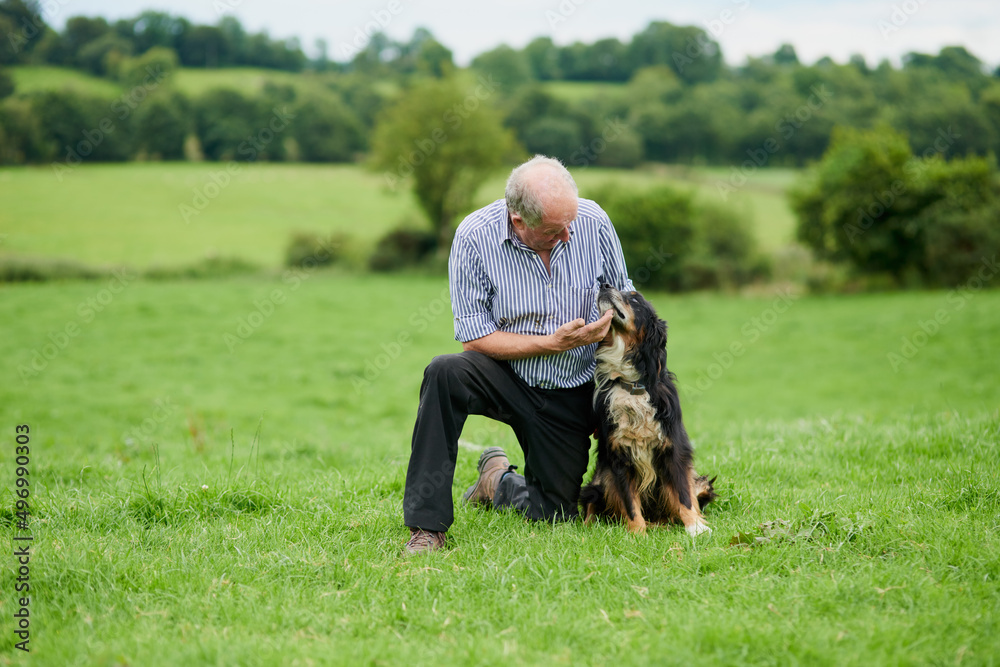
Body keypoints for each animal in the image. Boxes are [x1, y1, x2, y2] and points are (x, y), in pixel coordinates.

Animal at [580, 284, 720, 536]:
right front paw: (637, 533)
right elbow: (629, 502)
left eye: (635, 299)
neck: (632, 384)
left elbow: (684, 495)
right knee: (591, 503)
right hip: (597, 483)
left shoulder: (673, 449)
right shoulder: (619, 457)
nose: (604, 284)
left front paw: (695, 527)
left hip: (699, 482)